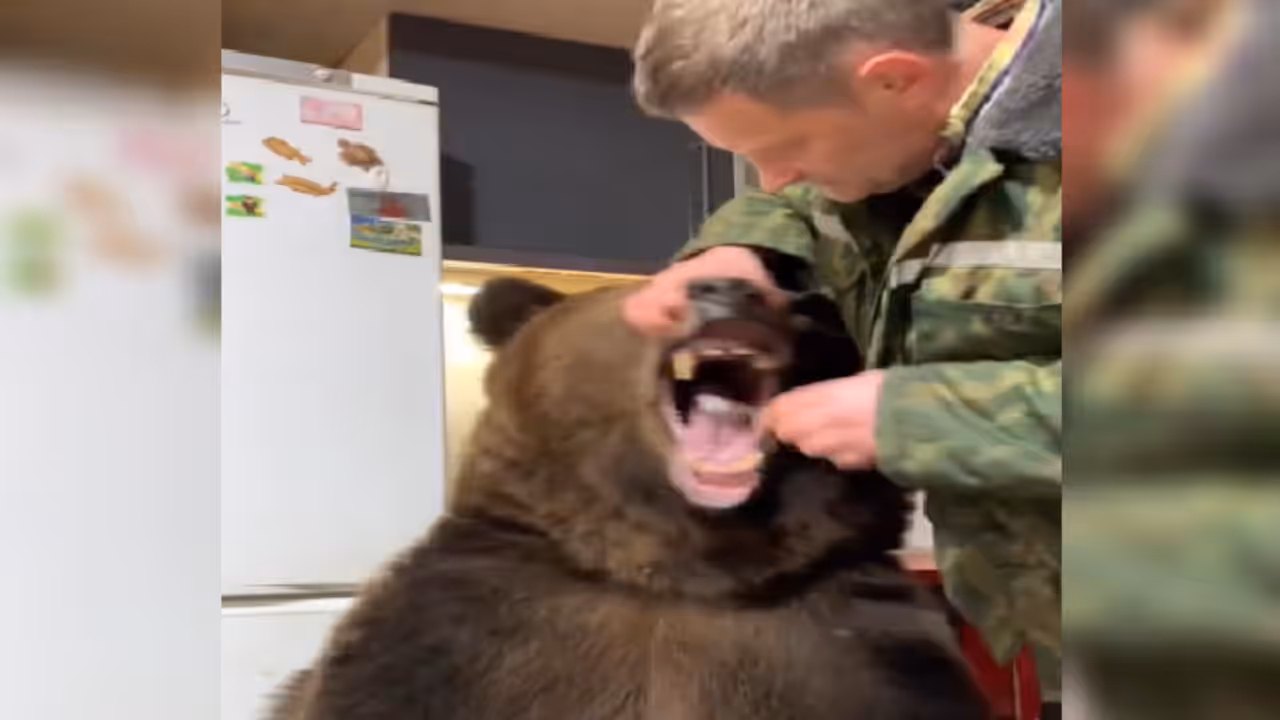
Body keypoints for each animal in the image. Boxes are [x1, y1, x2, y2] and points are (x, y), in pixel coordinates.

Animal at [267, 276, 989, 720]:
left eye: (797, 304)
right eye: (658, 286)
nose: (734, 290)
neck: (678, 570)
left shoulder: (867, 656)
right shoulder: (455, 648)